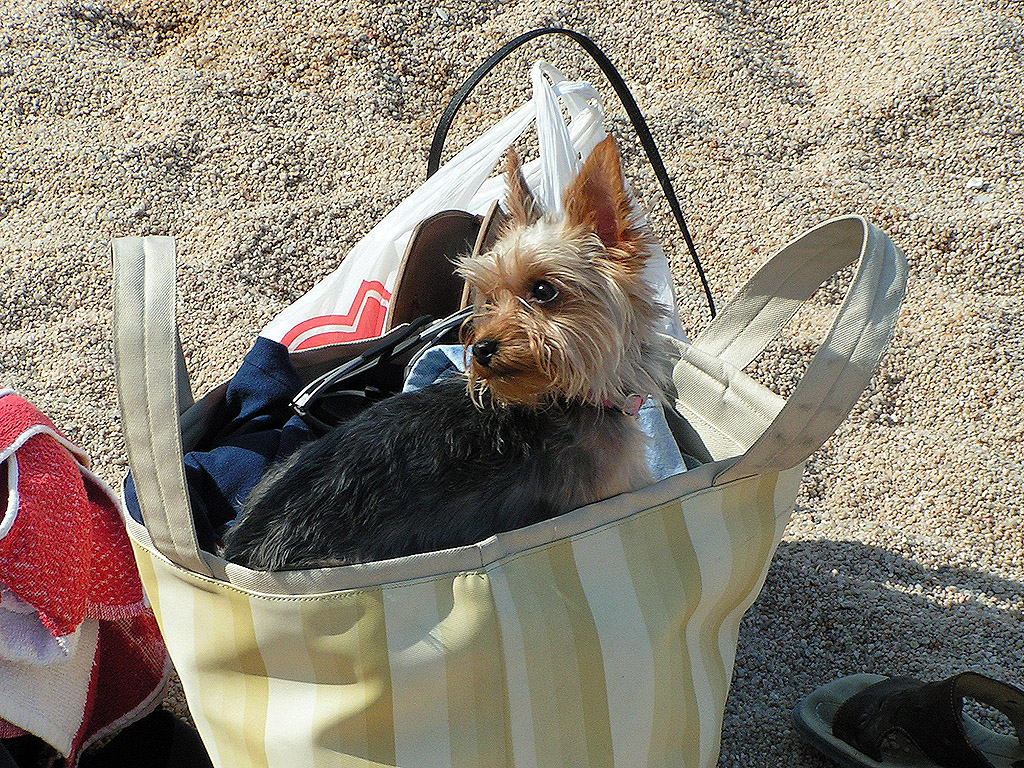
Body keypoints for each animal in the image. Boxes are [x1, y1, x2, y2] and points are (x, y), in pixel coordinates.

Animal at [222, 137, 671, 573]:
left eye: (544, 290)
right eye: (489, 297)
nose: (482, 348)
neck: (565, 397)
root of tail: (242, 549)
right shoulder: (612, 493)